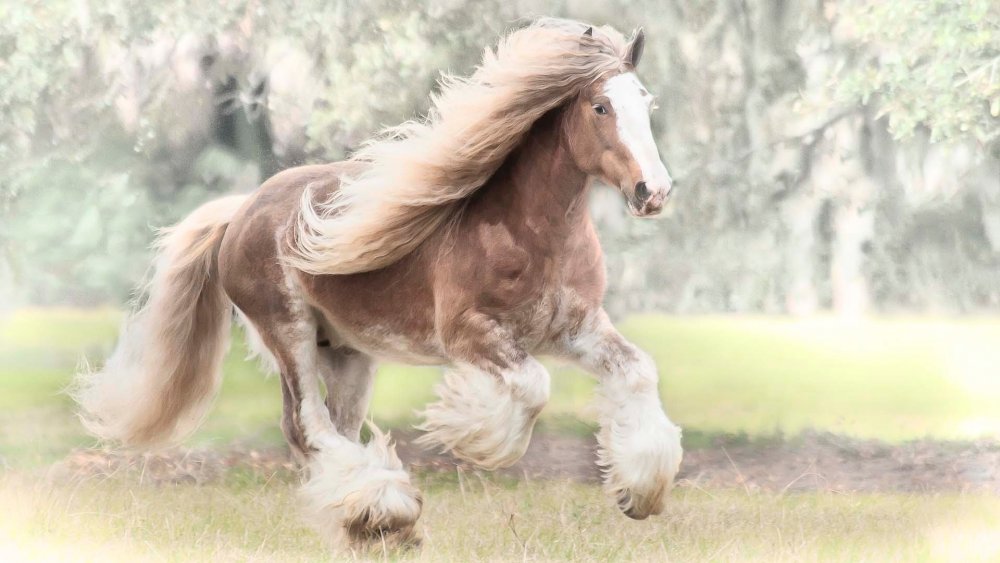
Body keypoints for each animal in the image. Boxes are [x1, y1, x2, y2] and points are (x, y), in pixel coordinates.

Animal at [74, 18, 684, 552]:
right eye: (601, 107)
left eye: (648, 102)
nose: (652, 191)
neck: (531, 232)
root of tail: (240, 212)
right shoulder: (472, 335)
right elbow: (534, 386)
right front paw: (472, 435)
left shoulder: (578, 329)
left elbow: (638, 371)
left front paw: (638, 493)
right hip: (288, 332)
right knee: (307, 425)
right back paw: (387, 512)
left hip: (348, 355)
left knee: (331, 429)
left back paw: (373, 521)